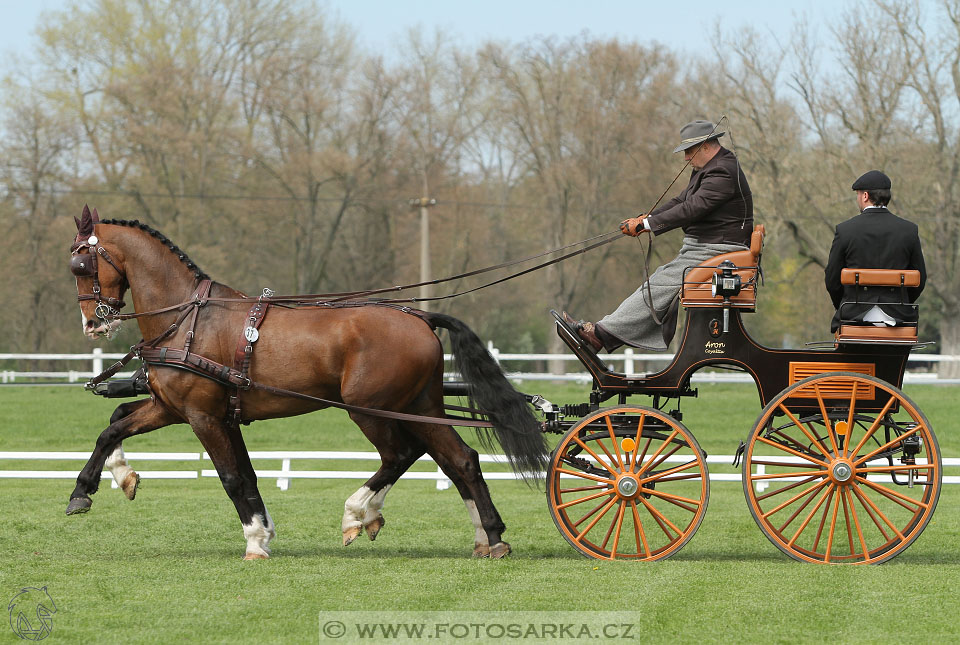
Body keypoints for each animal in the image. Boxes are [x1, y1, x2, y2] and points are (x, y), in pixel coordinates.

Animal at [65, 206, 548, 560]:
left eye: (81, 263)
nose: (92, 325)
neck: (188, 320)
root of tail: (419, 317)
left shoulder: (202, 416)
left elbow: (232, 478)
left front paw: (255, 542)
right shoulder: (180, 409)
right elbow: (115, 425)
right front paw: (97, 486)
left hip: (370, 409)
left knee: (402, 454)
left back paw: (360, 515)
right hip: (421, 406)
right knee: (459, 461)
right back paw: (489, 537)